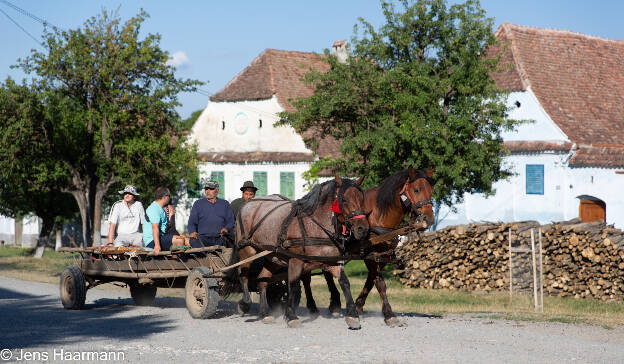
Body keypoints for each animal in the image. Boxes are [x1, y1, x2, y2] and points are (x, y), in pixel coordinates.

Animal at [236, 175, 368, 328]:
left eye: (362, 199)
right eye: (344, 199)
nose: (363, 228)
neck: (316, 225)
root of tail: (248, 204)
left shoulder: (332, 261)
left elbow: (344, 282)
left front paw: (352, 315)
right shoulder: (296, 260)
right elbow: (292, 284)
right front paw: (291, 315)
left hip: (273, 257)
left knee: (261, 280)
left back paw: (264, 313)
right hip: (247, 250)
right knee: (243, 275)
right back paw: (244, 303)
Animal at [308, 166, 434, 328]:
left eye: (431, 190)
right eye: (417, 189)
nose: (429, 218)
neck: (378, 215)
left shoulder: (382, 255)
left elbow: (371, 279)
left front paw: (358, 306)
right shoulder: (370, 255)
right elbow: (380, 283)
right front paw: (389, 314)